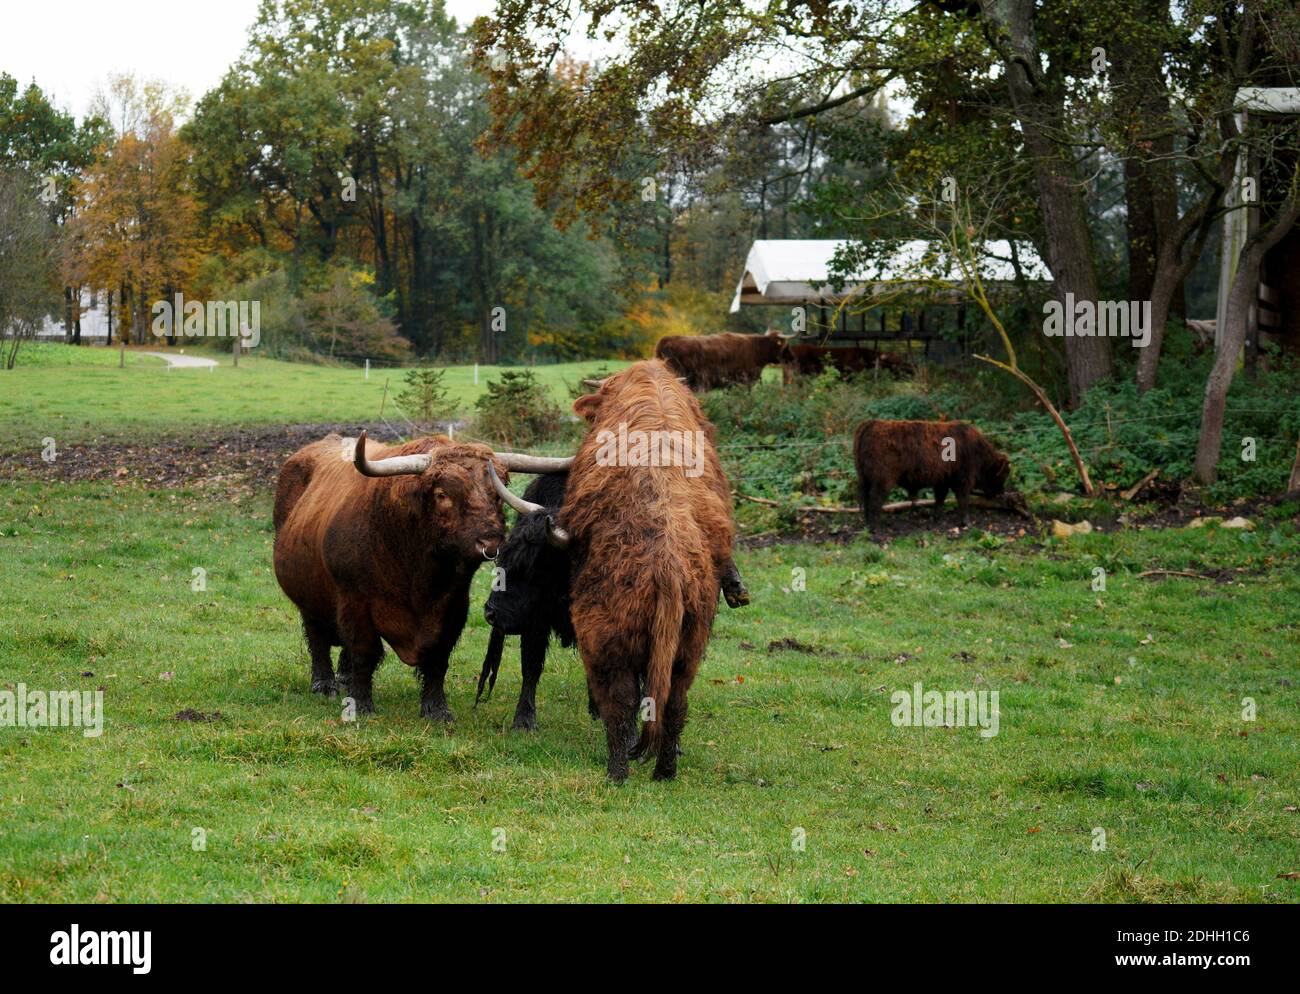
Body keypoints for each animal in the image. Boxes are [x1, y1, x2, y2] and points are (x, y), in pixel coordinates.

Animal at [272, 430, 566, 719]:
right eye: (442, 494)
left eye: (497, 493)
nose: (490, 542)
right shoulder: (354, 601)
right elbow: (364, 651)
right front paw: (361, 704)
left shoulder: (455, 606)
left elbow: (439, 657)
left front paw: (436, 709)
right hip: (307, 596)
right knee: (317, 637)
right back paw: (324, 684)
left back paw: (344, 678)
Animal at [853, 419, 1010, 529]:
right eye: (1003, 475)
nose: (1000, 492)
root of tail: (872, 423)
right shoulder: (962, 480)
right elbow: (963, 500)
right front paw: (966, 522)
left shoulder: (943, 480)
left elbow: (940, 498)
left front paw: (937, 517)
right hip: (882, 480)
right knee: (875, 499)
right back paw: (875, 528)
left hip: (866, 479)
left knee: (867, 499)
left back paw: (867, 524)